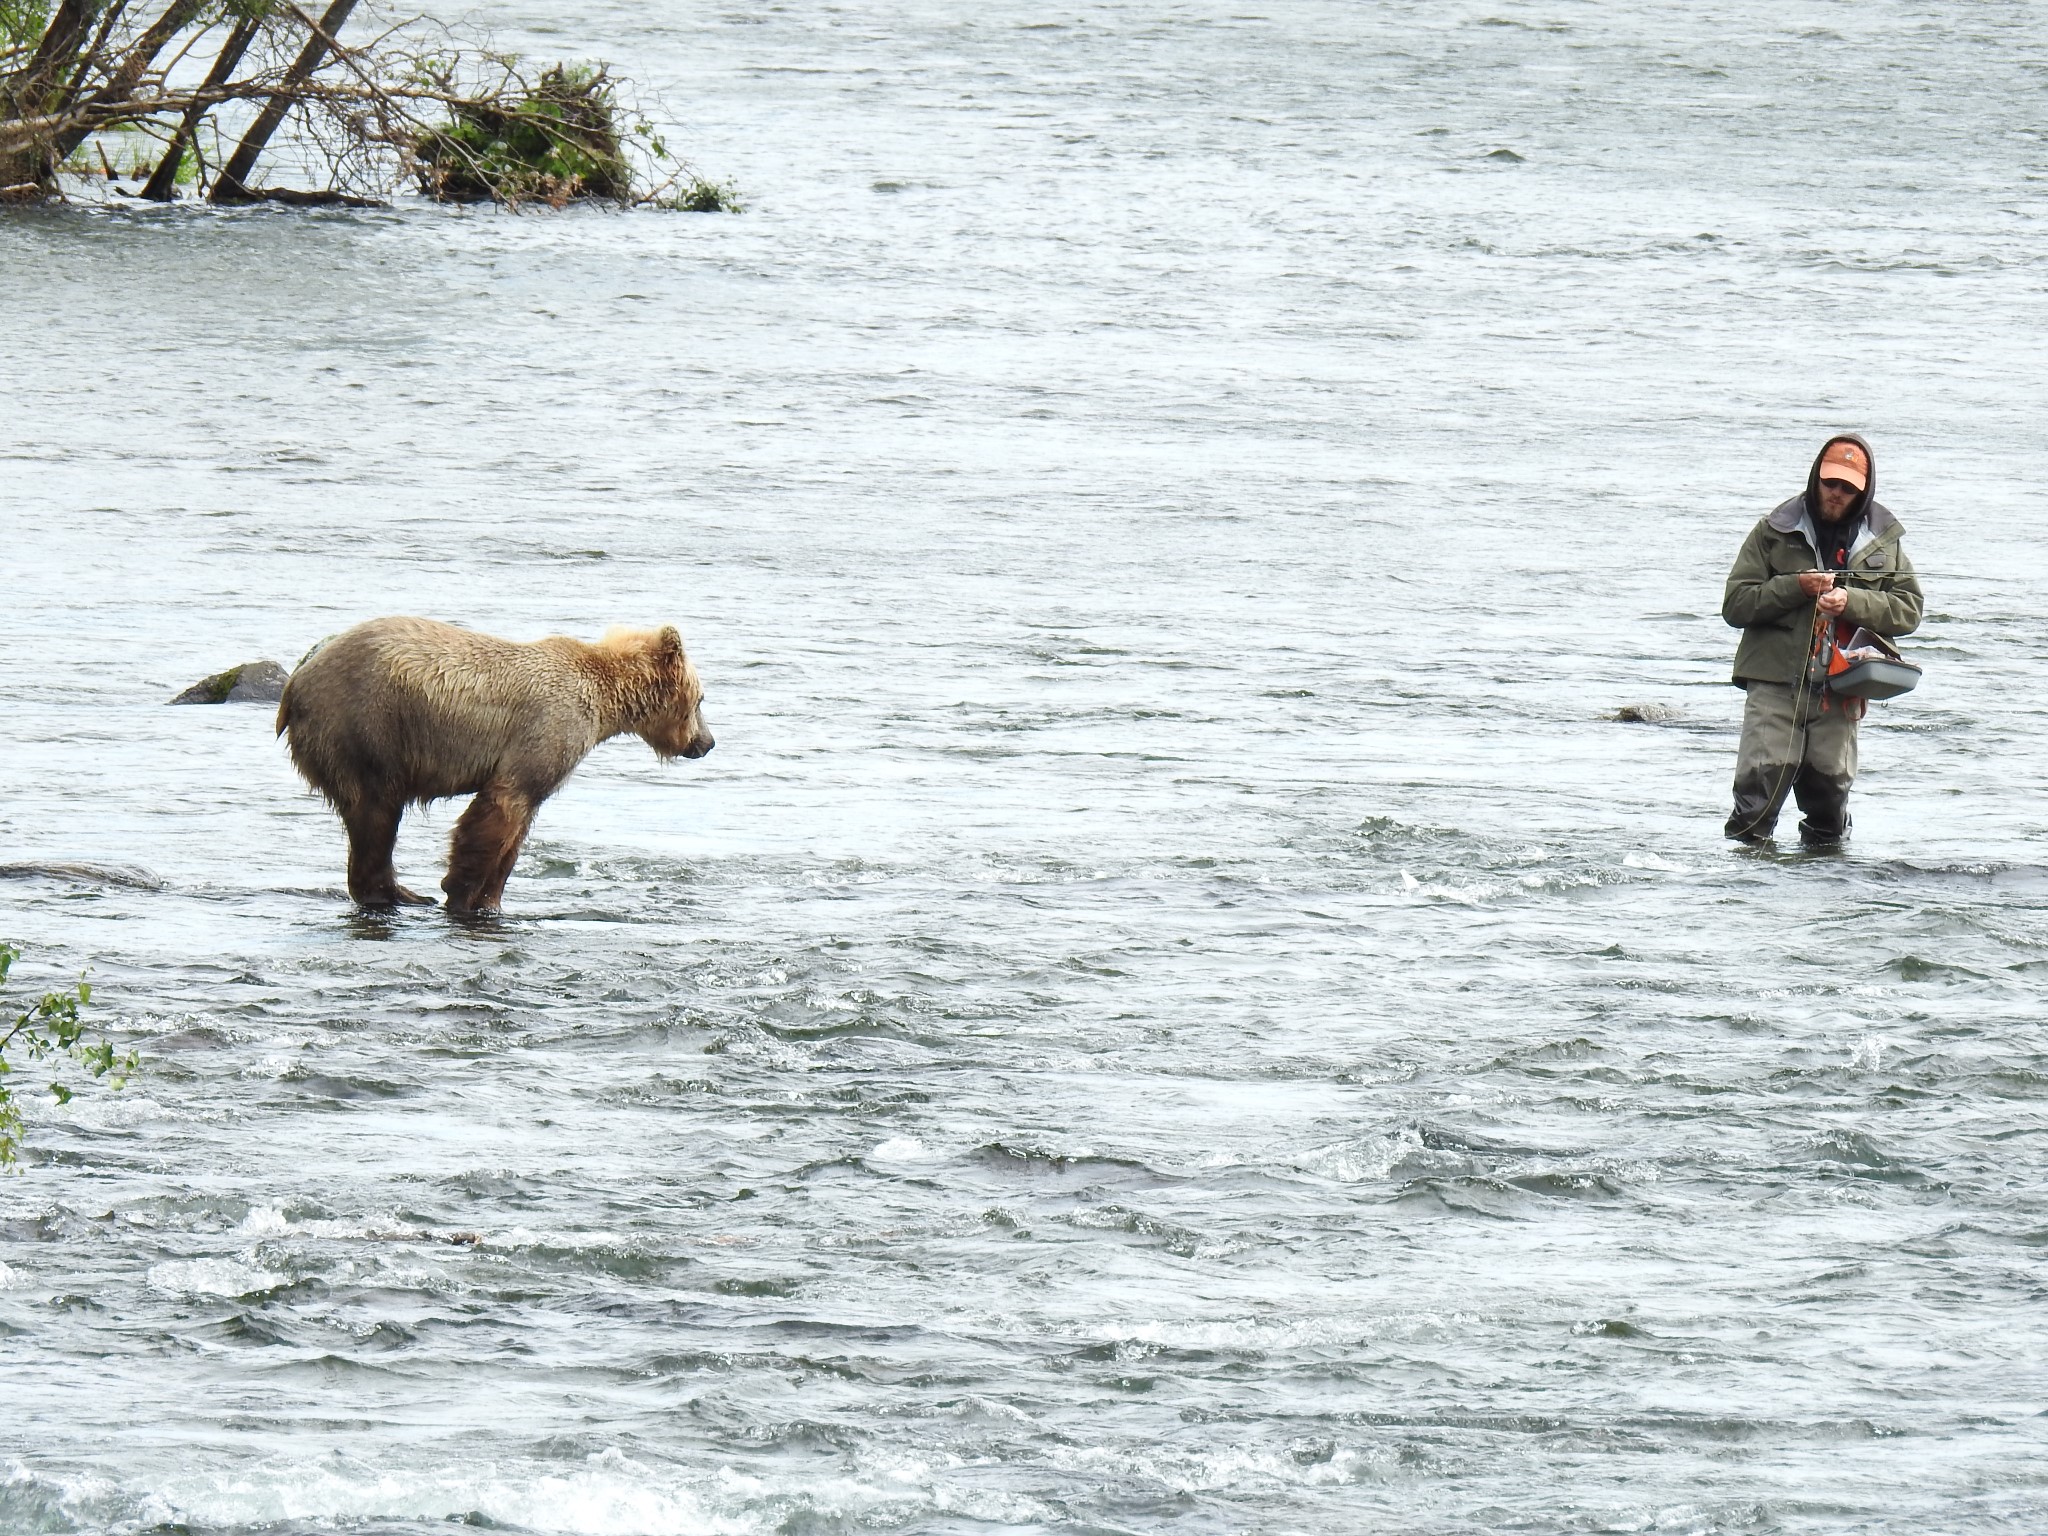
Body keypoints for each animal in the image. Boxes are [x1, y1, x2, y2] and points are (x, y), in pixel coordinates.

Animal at [280, 618, 712, 921]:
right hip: (368, 726)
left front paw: (492, 898)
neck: (606, 702)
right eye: (702, 698)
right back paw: (402, 894)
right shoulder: (547, 729)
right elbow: (501, 807)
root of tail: (297, 679)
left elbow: (518, 830)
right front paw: (461, 891)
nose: (706, 743)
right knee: (376, 812)